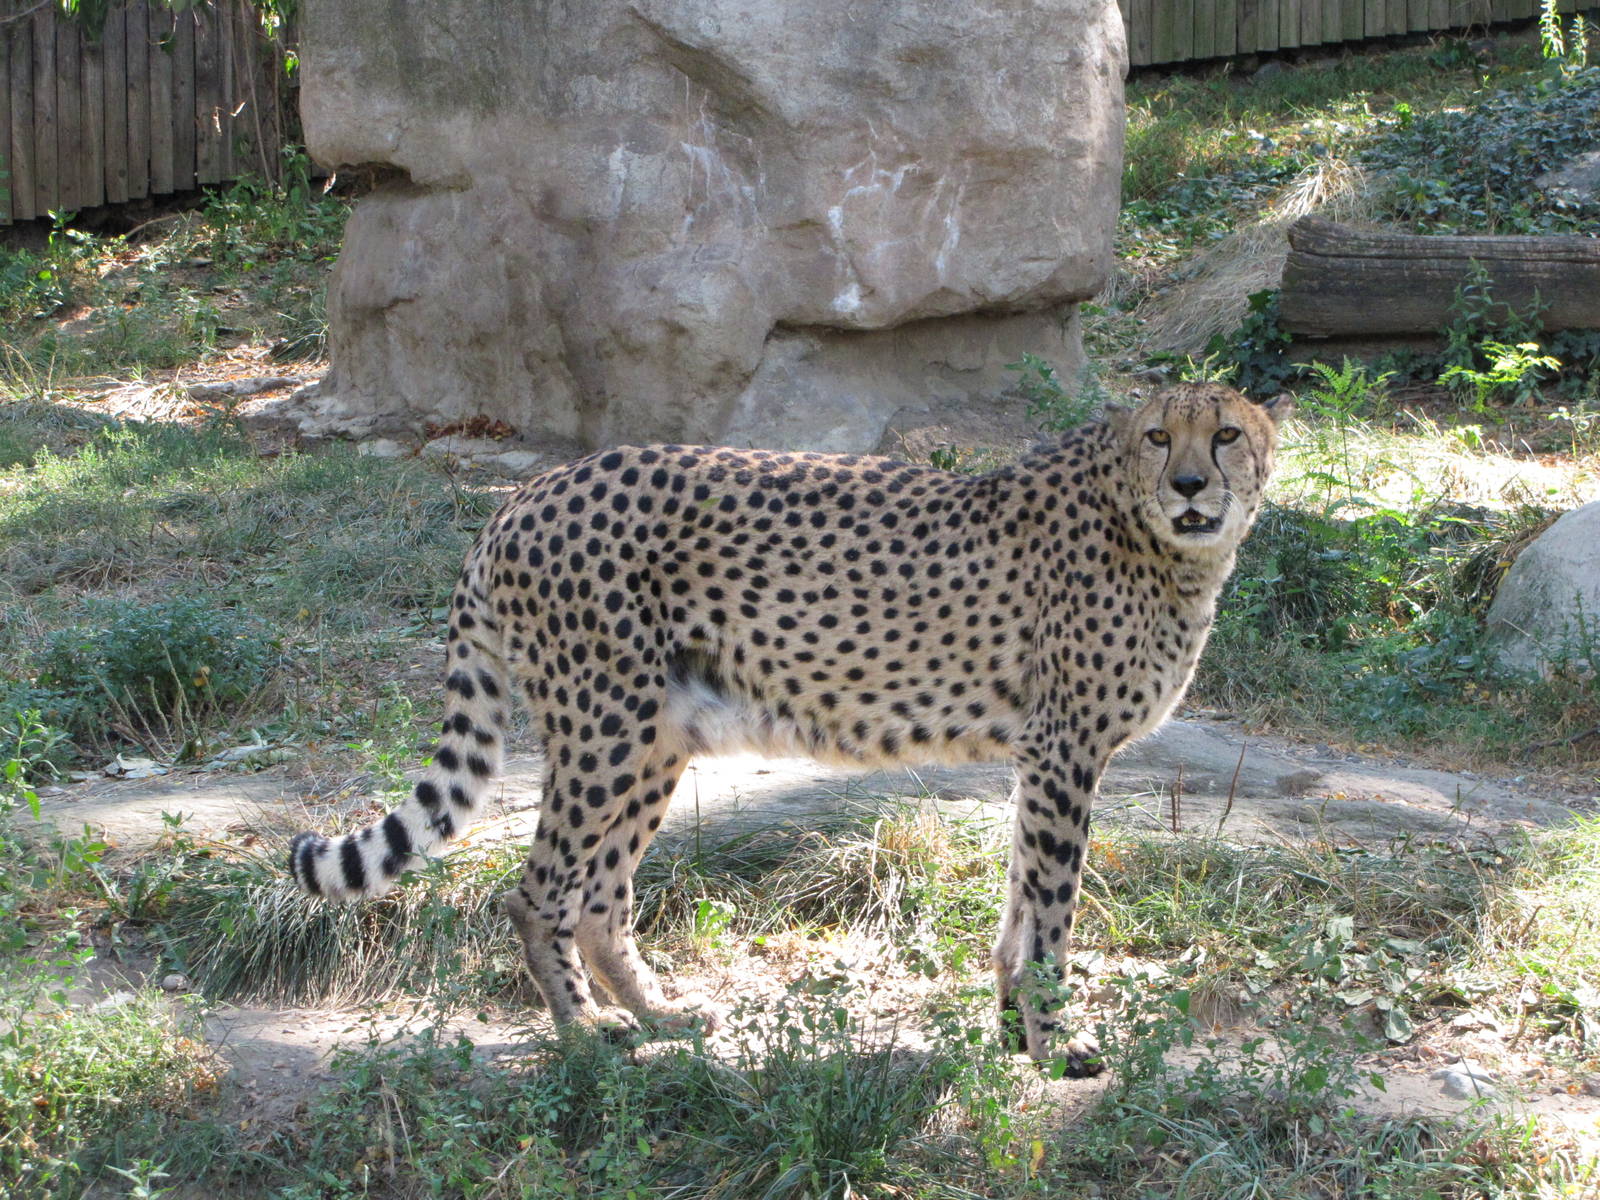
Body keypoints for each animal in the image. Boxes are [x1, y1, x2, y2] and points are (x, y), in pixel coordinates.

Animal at [288, 381, 1290, 1074]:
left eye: (1226, 434)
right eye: (1161, 436)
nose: (1191, 484)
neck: (1159, 536)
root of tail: (525, 493)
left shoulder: (1041, 758)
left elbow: (1019, 901)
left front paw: (1013, 1028)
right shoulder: (1064, 750)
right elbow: (1050, 912)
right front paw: (1051, 1045)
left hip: (658, 735)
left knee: (602, 896)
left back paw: (660, 1015)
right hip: (605, 727)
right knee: (539, 891)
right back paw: (585, 1032)